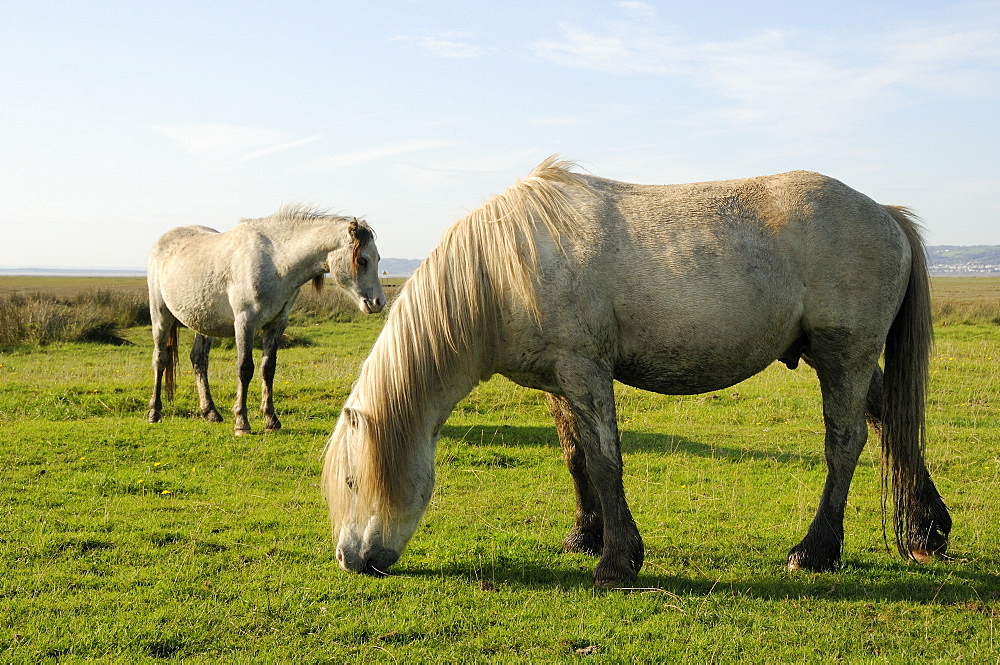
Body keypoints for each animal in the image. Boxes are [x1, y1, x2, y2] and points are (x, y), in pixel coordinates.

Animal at [146, 208, 382, 436]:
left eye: (378, 259)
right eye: (362, 260)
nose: (378, 302)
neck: (275, 261)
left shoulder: (277, 324)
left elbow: (268, 369)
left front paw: (271, 420)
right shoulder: (245, 321)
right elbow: (245, 368)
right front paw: (241, 423)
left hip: (203, 322)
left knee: (199, 360)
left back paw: (210, 412)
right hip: (160, 315)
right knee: (160, 358)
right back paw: (154, 412)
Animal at [322, 160, 952, 588]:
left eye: (352, 482)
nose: (350, 561)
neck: (504, 269)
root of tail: (887, 215)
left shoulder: (585, 370)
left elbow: (605, 461)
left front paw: (617, 560)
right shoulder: (559, 383)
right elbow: (577, 458)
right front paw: (585, 536)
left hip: (844, 356)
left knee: (845, 444)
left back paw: (816, 550)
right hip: (836, 357)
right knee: (892, 420)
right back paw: (928, 530)